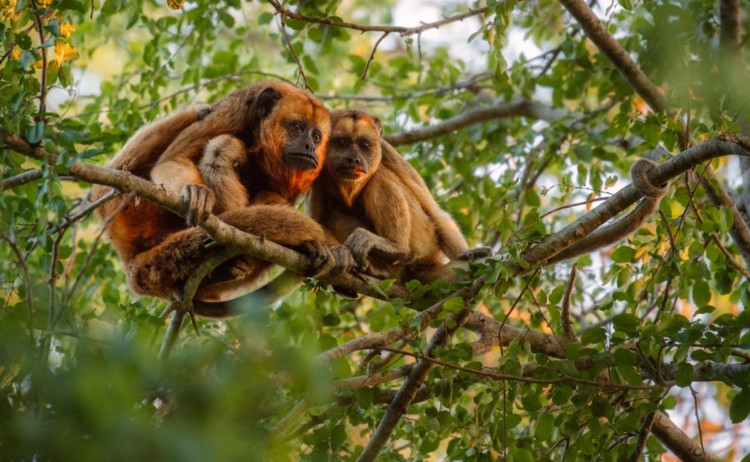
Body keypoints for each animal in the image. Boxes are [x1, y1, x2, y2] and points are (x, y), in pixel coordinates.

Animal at [91, 81, 345, 317]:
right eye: (297, 127)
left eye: (317, 136)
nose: (310, 146)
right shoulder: (234, 111)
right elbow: (174, 160)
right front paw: (197, 192)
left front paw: (308, 244)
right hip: (124, 203)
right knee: (218, 144)